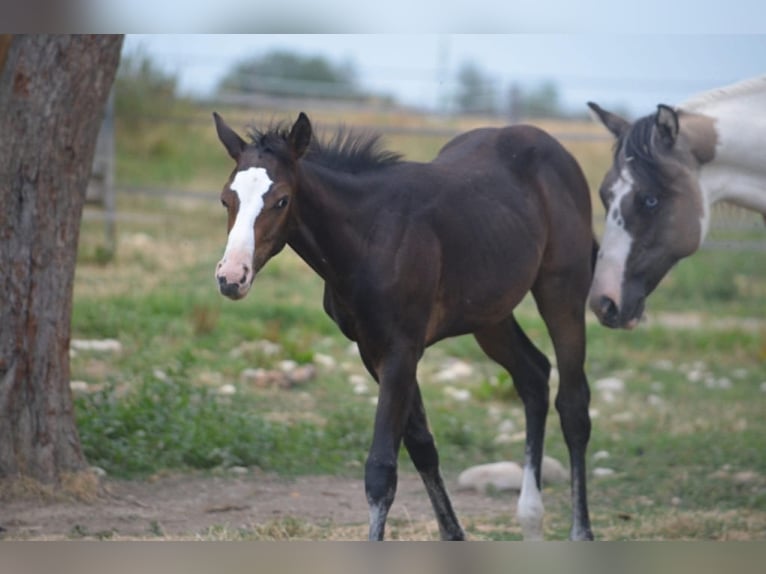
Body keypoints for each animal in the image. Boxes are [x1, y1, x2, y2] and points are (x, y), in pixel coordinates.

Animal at [212, 111, 597, 541]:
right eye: (226, 199)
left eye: (281, 200)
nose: (231, 277)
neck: (371, 235)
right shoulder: (373, 350)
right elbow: (422, 446)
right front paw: (453, 534)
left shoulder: (402, 348)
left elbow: (381, 470)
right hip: (490, 314)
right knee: (533, 375)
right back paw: (530, 519)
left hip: (562, 292)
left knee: (573, 404)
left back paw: (580, 531)